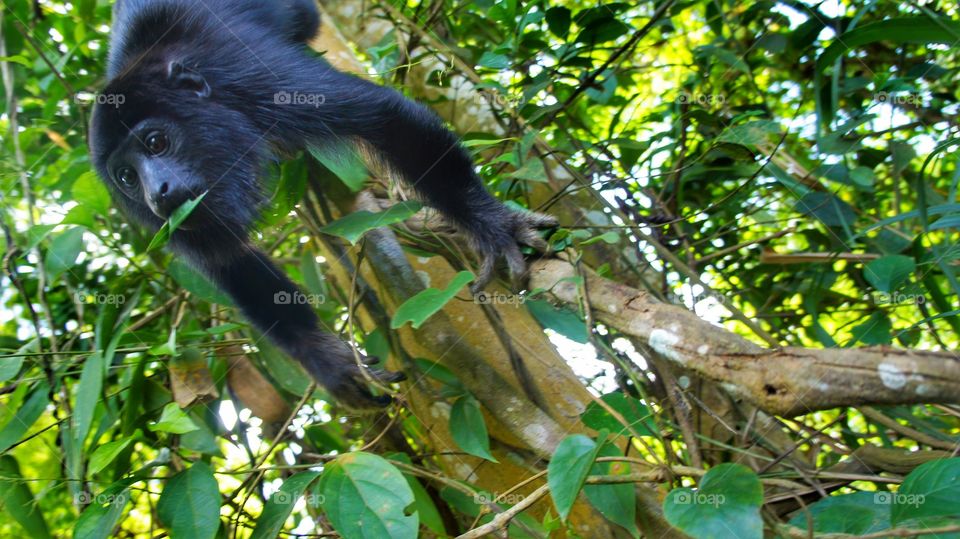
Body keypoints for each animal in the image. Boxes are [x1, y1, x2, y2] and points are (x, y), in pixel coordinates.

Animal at [89, 0, 557, 407]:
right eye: (127, 177)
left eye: (156, 141)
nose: (157, 193)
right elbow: (230, 260)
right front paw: (326, 358)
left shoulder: (244, 75)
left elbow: (384, 116)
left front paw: (491, 223)